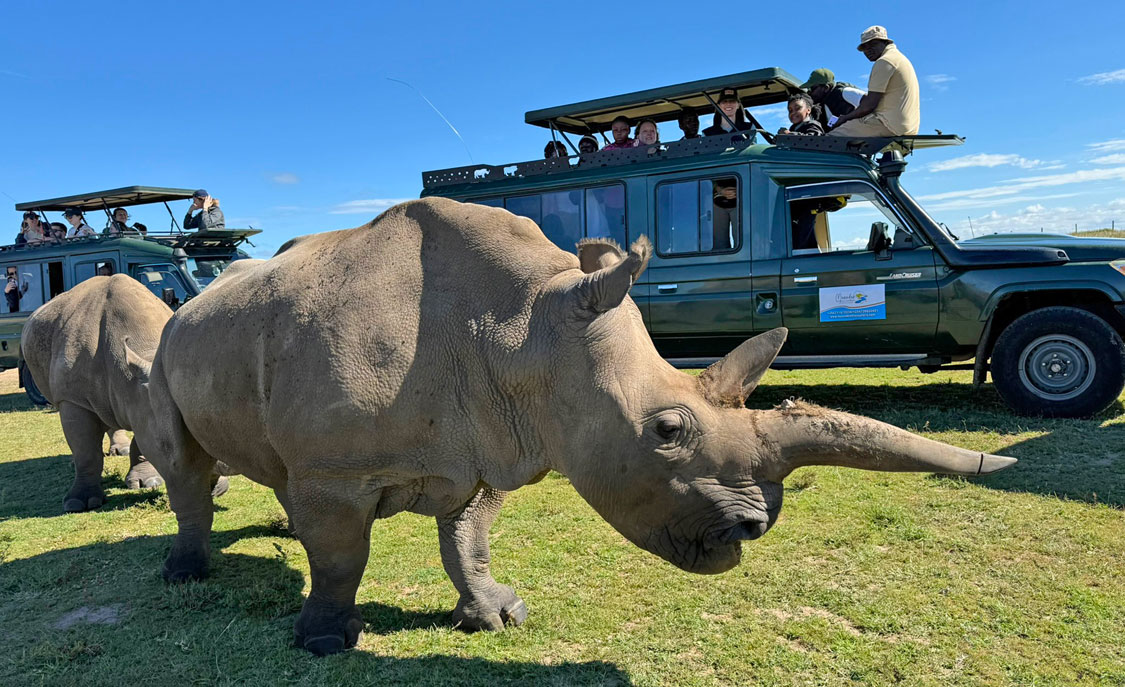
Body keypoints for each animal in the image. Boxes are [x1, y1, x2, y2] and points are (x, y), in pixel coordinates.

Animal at [138, 198, 1015, 655]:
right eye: (666, 429)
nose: (754, 527)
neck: (520, 326)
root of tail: (190, 297)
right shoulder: (340, 468)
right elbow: (343, 555)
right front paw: (327, 640)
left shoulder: (496, 438)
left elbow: (468, 537)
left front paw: (495, 614)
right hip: (168, 337)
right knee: (186, 461)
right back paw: (184, 573)